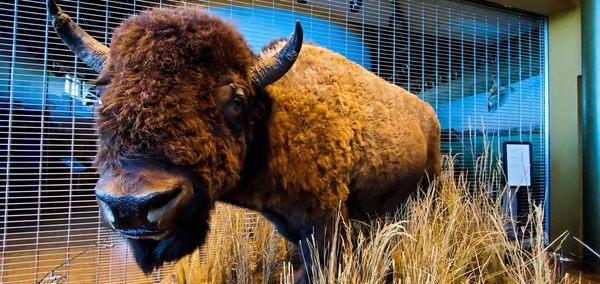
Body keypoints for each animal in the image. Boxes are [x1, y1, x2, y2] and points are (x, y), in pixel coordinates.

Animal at [47, 0, 440, 282]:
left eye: (236, 98)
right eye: (101, 94)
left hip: (431, 182)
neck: (275, 118)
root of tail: (428, 112)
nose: (131, 205)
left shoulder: (326, 224)